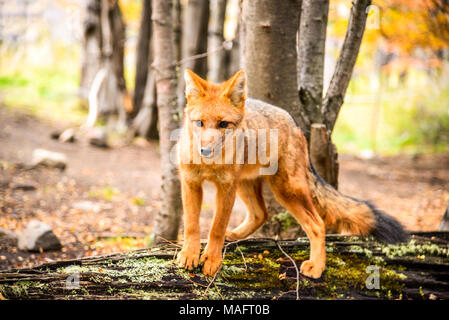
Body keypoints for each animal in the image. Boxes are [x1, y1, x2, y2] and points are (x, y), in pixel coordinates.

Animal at [176, 69, 410, 278]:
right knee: (261, 214)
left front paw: (212, 259)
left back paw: (317, 267)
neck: (209, 165)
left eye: (223, 124)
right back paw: (233, 235)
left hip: (286, 190)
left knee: (317, 224)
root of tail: (293, 120)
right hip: (248, 185)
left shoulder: (225, 187)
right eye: (200, 123)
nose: (205, 150)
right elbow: (191, 225)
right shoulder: (190, 183)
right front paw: (189, 254)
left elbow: (216, 227)